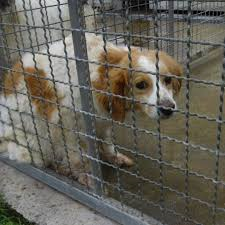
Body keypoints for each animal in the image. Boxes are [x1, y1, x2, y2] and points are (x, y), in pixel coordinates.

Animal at [0, 32, 183, 185]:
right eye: (141, 85)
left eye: (168, 79)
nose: (168, 108)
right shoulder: (68, 126)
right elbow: (78, 158)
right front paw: (87, 177)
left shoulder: (103, 120)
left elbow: (107, 143)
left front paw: (114, 157)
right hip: (34, 142)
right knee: (45, 159)